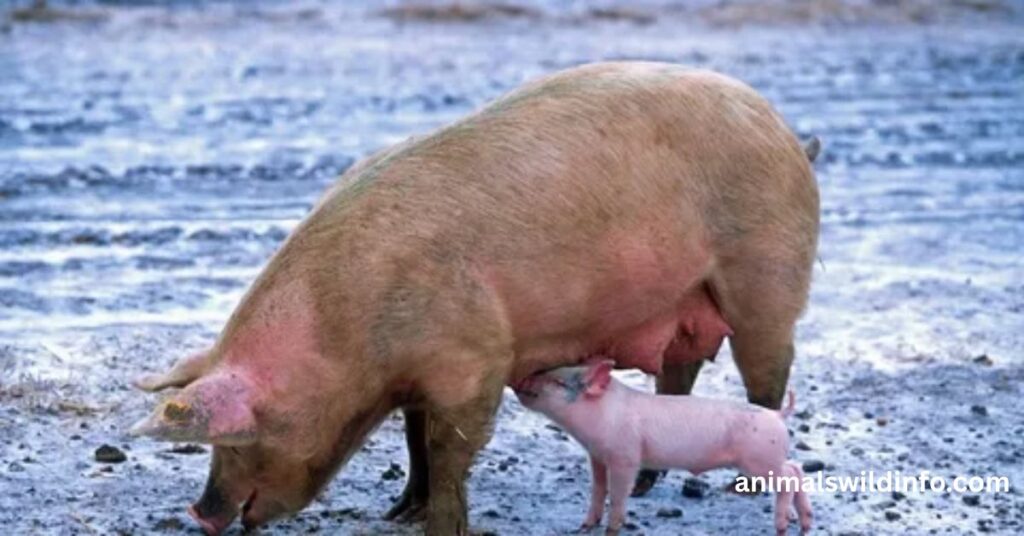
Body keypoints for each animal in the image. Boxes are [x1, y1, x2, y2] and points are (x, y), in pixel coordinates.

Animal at [515, 360, 813, 535]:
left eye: (558, 382)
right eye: (545, 372)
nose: (520, 379)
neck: (602, 413)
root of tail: (777, 415)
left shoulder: (625, 456)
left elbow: (619, 494)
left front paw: (611, 530)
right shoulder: (596, 455)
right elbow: (598, 490)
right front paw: (585, 526)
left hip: (760, 461)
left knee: (789, 476)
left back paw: (782, 527)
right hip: (768, 459)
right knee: (797, 469)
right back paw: (805, 524)